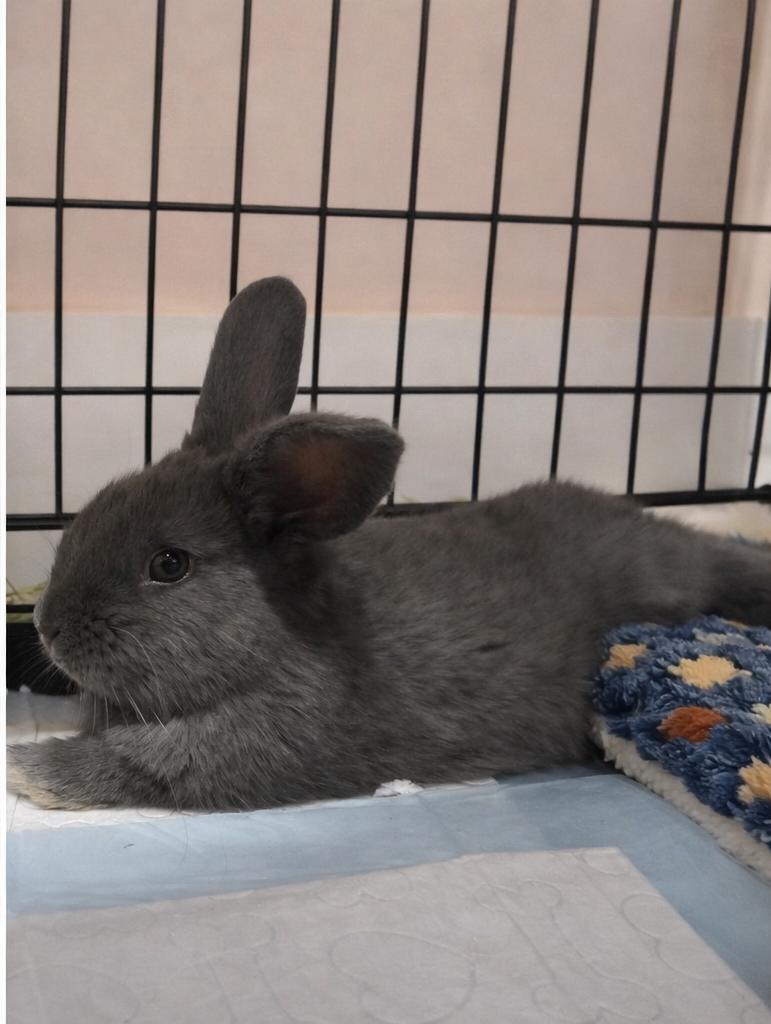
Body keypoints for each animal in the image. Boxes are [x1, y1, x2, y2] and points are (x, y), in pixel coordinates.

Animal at [7, 277, 771, 811]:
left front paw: (24, 768)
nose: (44, 626)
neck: (280, 639)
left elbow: (131, 764)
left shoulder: (236, 754)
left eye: (169, 564)